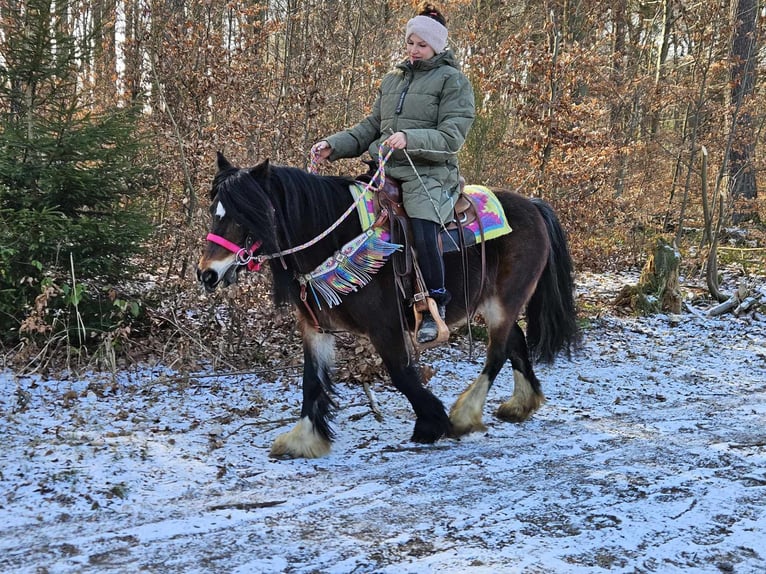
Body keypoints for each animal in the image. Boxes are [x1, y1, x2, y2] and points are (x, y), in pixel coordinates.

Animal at [198, 153, 584, 460]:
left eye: (247, 214)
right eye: (216, 212)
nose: (207, 274)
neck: (335, 240)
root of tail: (534, 206)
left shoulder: (384, 326)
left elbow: (400, 373)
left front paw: (432, 423)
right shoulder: (314, 327)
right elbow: (311, 380)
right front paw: (303, 439)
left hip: (506, 300)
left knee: (499, 351)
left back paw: (465, 415)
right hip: (494, 304)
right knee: (516, 341)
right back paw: (521, 405)